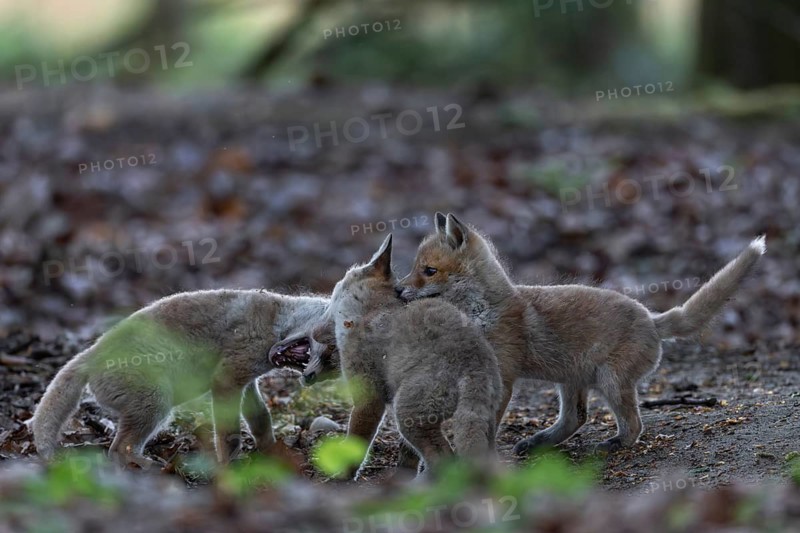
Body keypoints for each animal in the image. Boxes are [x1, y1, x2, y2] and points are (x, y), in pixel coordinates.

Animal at [29, 289, 335, 467]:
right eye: (329, 349)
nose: (312, 378)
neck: (276, 317)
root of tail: (89, 355)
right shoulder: (226, 379)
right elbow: (229, 436)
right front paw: (227, 467)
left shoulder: (245, 380)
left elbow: (260, 421)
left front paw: (272, 452)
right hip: (156, 403)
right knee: (117, 450)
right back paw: (150, 468)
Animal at [299, 234, 502, 478]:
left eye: (334, 292)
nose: (314, 331)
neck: (370, 309)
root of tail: (474, 365)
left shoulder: (369, 396)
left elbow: (357, 442)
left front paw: (344, 476)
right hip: (484, 423)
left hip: (408, 416)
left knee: (443, 459)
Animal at [396, 213, 766, 455]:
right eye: (415, 268)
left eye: (429, 271)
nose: (397, 290)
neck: (483, 311)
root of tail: (652, 317)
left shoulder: (502, 376)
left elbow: (487, 423)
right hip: (570, 379)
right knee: (576, 419)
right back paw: (538, 442)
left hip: (611, 381)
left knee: (634, 424)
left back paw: (615, 444)